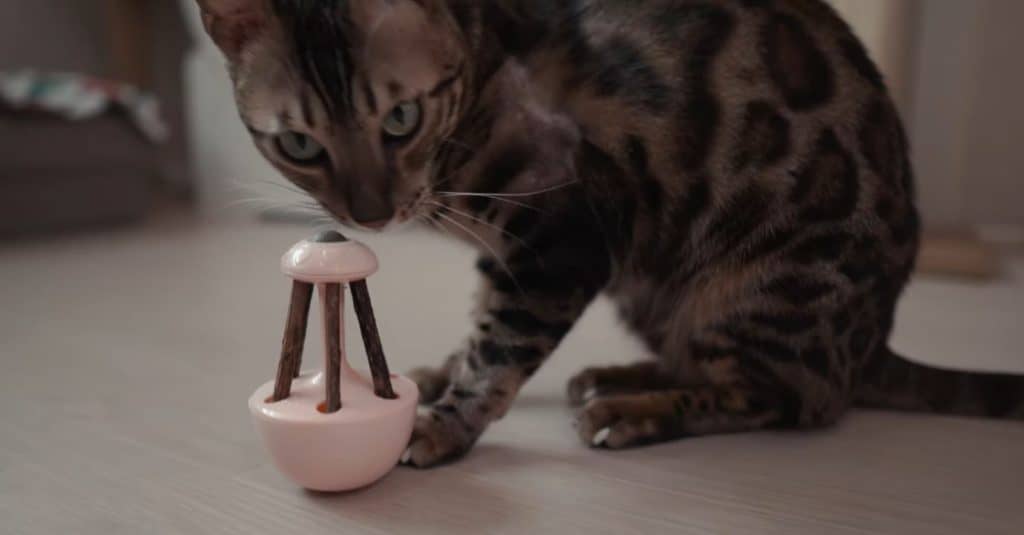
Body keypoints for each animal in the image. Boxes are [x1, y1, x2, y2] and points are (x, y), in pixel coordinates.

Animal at [193, 0, 1024, 467]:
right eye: (297, 144)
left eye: (400, 118)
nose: (369, 214)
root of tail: (873, 340)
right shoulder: (514, 254)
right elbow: (480, 331)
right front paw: (423, 378)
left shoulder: (562, 234)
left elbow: (499, 349)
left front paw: (443, 424)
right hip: (657, 285)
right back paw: (619, 376)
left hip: (754, 284)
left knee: (791, 398)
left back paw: (634, 410)